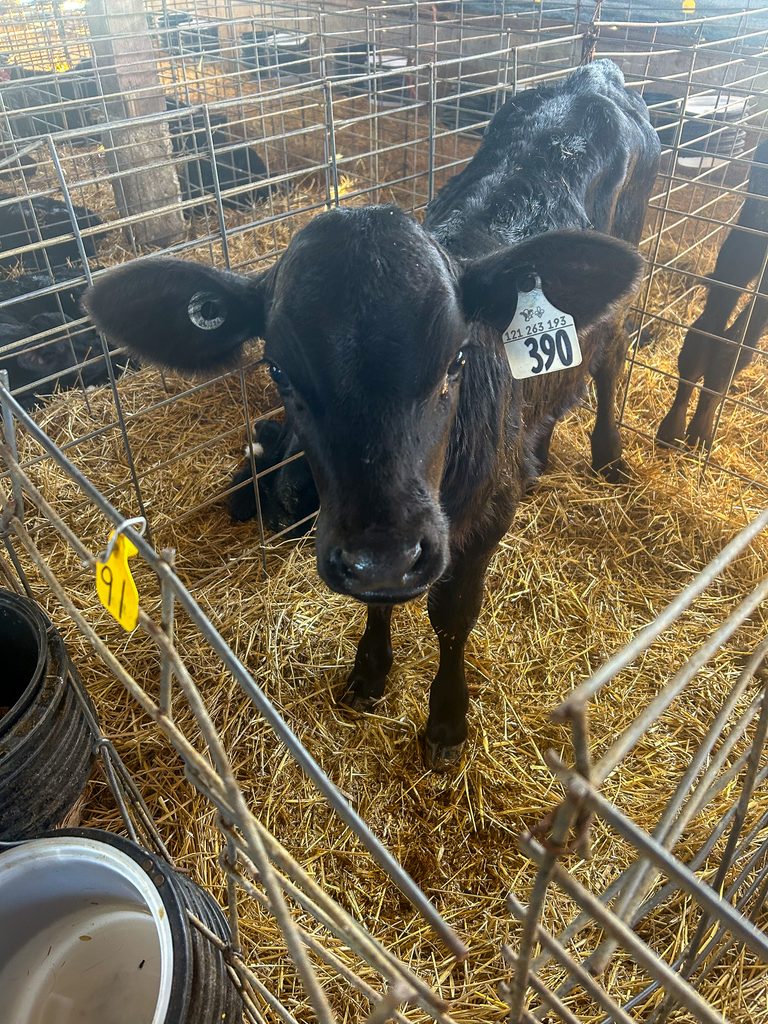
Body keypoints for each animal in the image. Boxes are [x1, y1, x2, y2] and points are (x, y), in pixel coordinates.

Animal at [84, 60, 660, 768]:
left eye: (456, 359)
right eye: (279, 371)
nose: (383, 554)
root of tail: (594, 71)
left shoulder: (482, 520)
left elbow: (453, 614)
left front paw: (446, 722)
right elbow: (381, 604)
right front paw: (370, 669)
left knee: (609, 358)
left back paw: (609, 457)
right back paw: (541, 453)